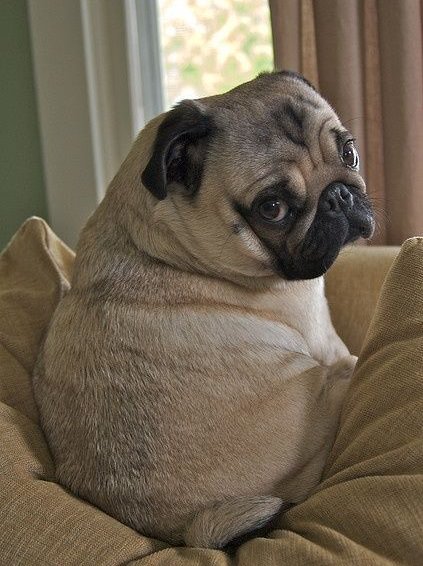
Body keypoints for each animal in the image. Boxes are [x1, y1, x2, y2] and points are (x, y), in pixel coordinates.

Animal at [34, 71, 374, 552]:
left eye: (349, 153)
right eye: (272, 208)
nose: (339, 195)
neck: (167, 246)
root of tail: (187, 528)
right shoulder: (322, 335)